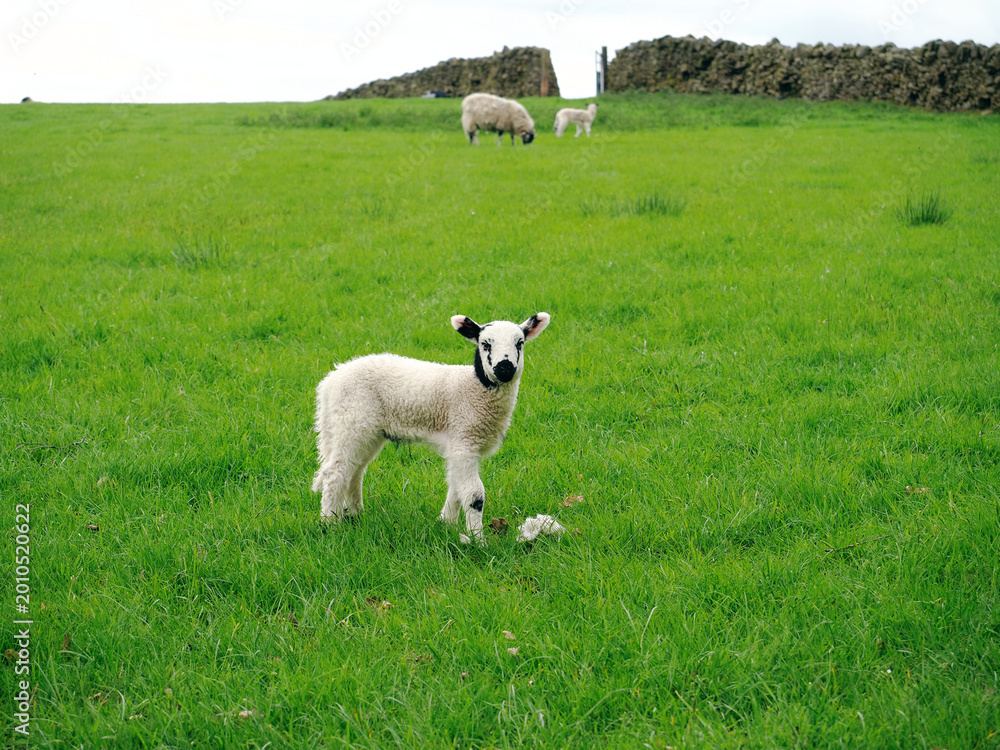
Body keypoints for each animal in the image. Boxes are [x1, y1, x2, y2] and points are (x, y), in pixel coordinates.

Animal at [312, 312, 550, 543]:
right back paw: (329, 523)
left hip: (365, 429)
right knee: (335, 473)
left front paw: (446, 522)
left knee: (355, 470)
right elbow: (474, 495)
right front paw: (478, 540)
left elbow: (456, 486)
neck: (474, 388)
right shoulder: (464, 438)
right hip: (352, 420)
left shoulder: (458, 442)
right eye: (485, 344)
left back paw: (355, 514)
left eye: (520, 343)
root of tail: (330, 381)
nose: (505, 368)